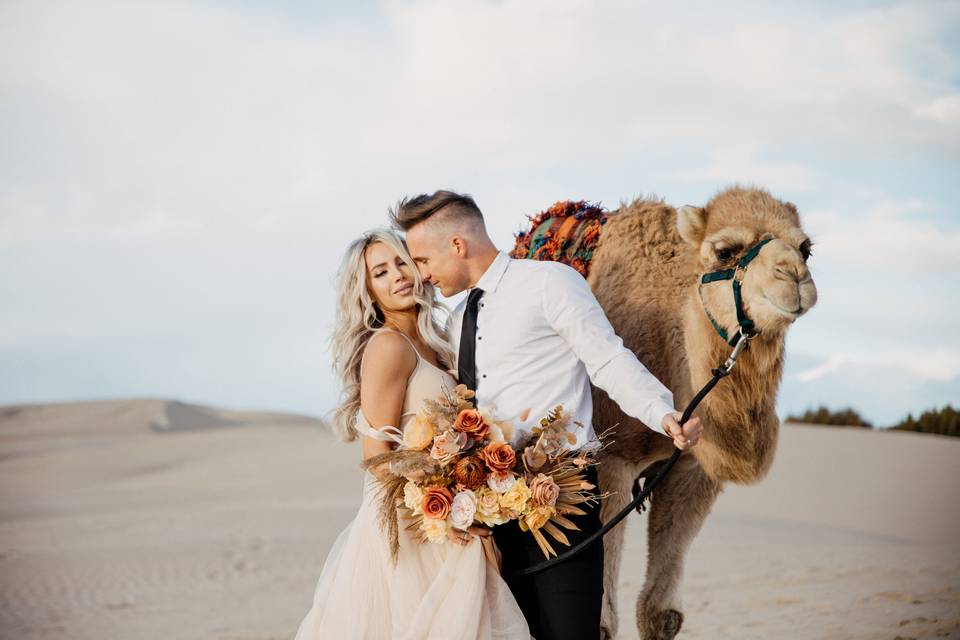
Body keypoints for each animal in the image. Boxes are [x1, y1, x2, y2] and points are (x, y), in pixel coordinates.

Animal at [512, 184, 820, 636]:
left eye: (806, 248)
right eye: (724, 250)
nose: (794, 277)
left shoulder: (694, 469)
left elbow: (662, 613)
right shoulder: (611, 459)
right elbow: (602, 619)